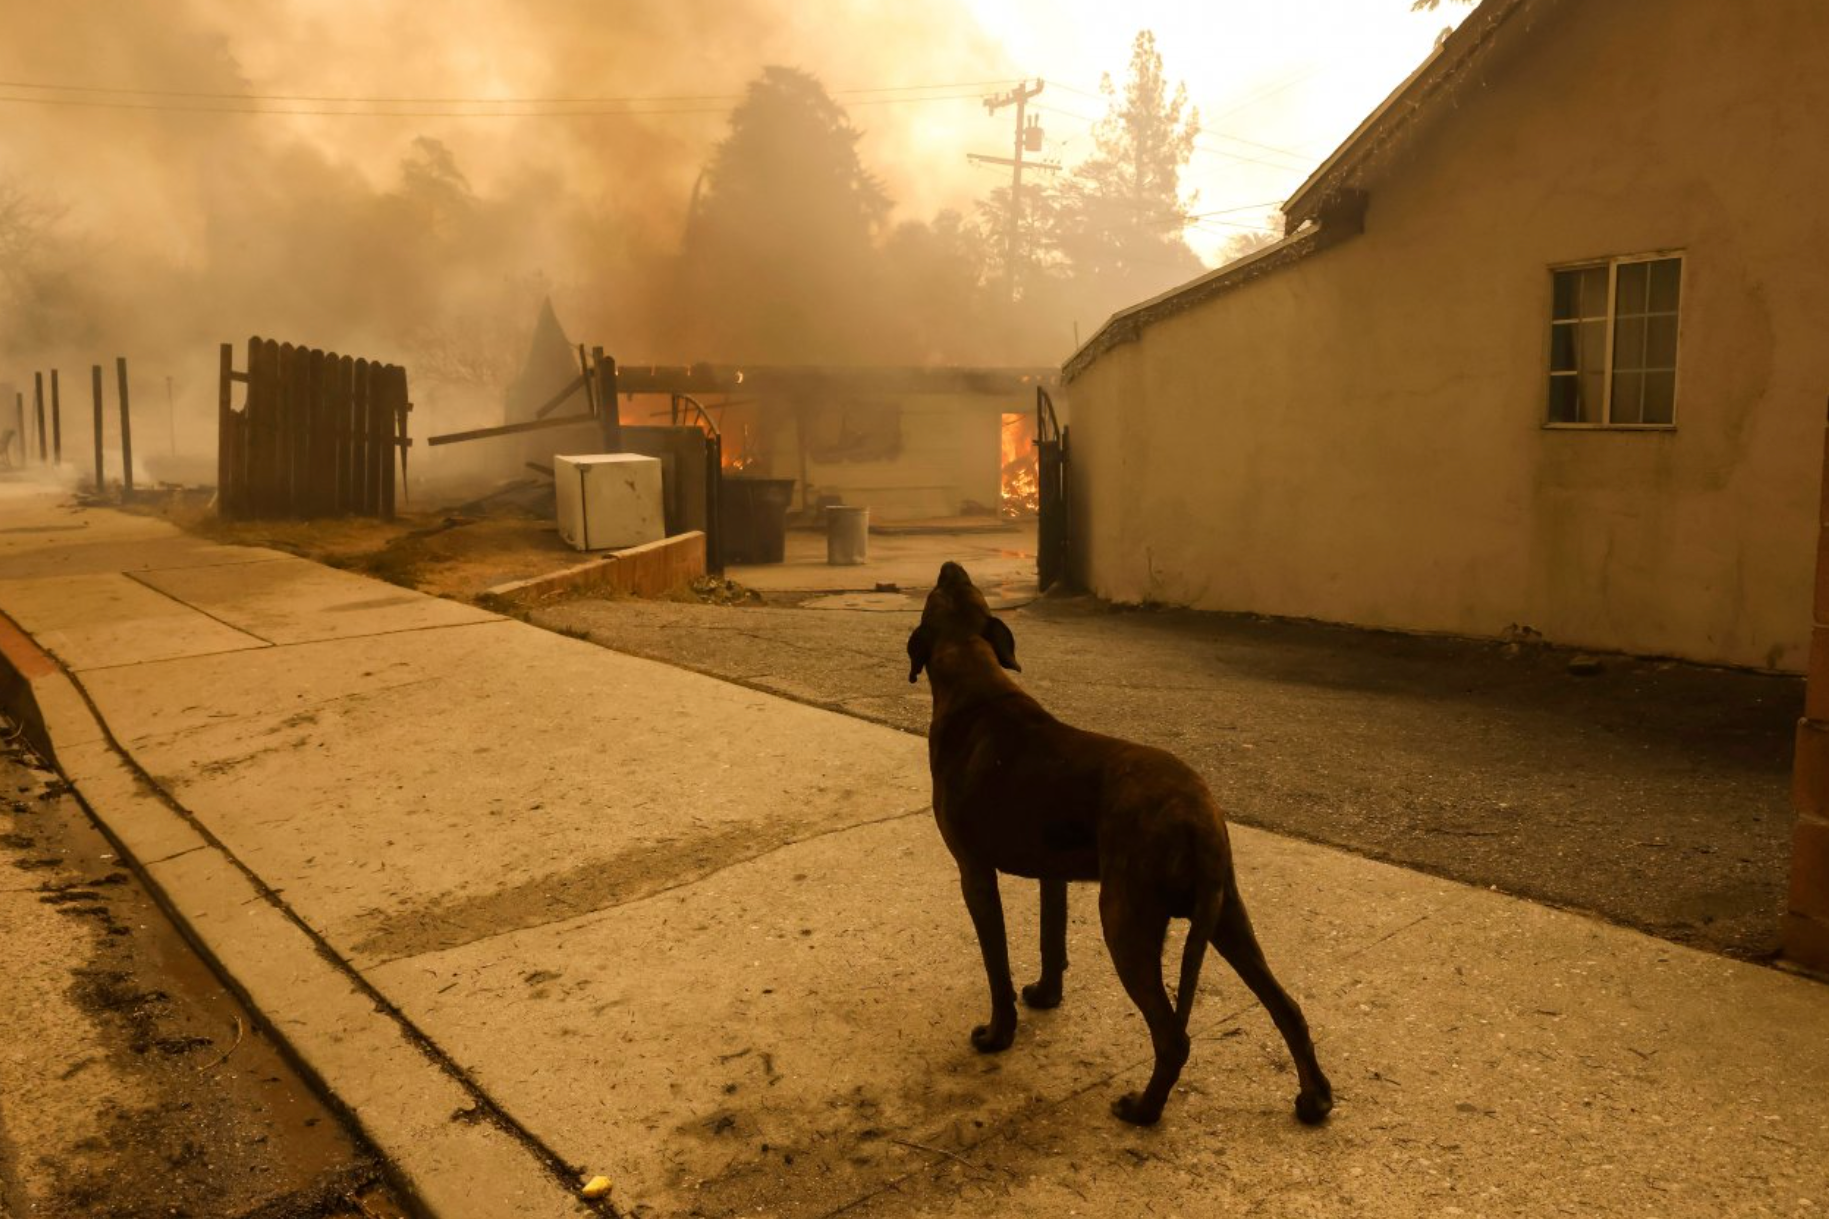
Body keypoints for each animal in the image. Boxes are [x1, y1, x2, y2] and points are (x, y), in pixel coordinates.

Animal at [907, 560, 1338, 1120]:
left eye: (938, 592)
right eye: (961, 588)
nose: (950, 565)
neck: (975, 680)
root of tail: (1197, 816)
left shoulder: (974, 874)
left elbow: (996, 967)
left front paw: (998, 1036)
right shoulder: (1053, 874)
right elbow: (1050, 940)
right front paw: (1045, 995)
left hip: (1125, 920)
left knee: (1173, 1037)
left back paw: (1143, 1110)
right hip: (1225, 915)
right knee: (1288, 1008)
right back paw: (1315, 1097)